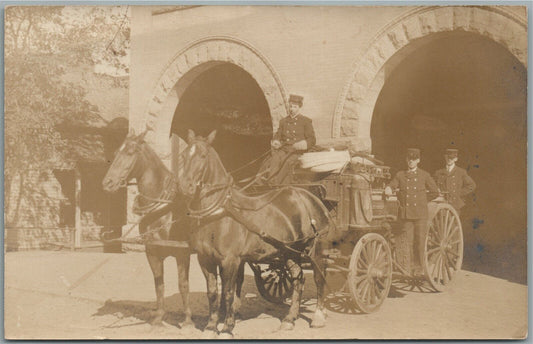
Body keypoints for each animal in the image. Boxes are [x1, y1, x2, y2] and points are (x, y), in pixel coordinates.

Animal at [101, 130, 194, 328]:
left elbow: (183, 285)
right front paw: (158, 317)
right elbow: (159, 284)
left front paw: (188, 320)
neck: (164, 209)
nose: (107, 183)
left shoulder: (183, 253)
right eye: (116, 153)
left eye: (130, 152)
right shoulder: (152, 251)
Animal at [179, 130, 330, 338]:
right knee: (298, 278)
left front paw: (227, 328)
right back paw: (289, 319)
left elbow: (228, 292)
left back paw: (318, 316)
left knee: (319, 278)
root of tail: (310, 197)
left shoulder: (231, 261)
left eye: (202, 156)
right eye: (184, 155)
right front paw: (210, 327)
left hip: (315, 249)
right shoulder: (205, 259)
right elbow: (213, 293)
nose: (185, 186)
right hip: (289, 251)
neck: (219, 213)